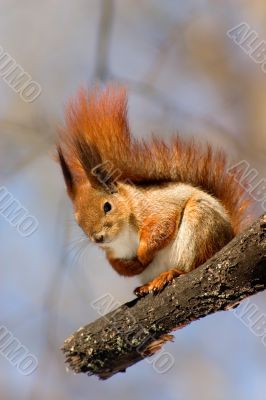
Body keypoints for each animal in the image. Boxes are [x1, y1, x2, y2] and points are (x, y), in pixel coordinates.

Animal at [56, 84, 251, 296]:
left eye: (107, 206)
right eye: (78, 222)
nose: (98, 238)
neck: (123, 235)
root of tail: (228, 238)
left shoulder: (157, 207)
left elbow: (161, 225)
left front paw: (142, 254)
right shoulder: (112, 252)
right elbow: (116, 265)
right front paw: (132, 266)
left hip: (201, 226)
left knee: (195, 263)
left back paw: (171, 273)